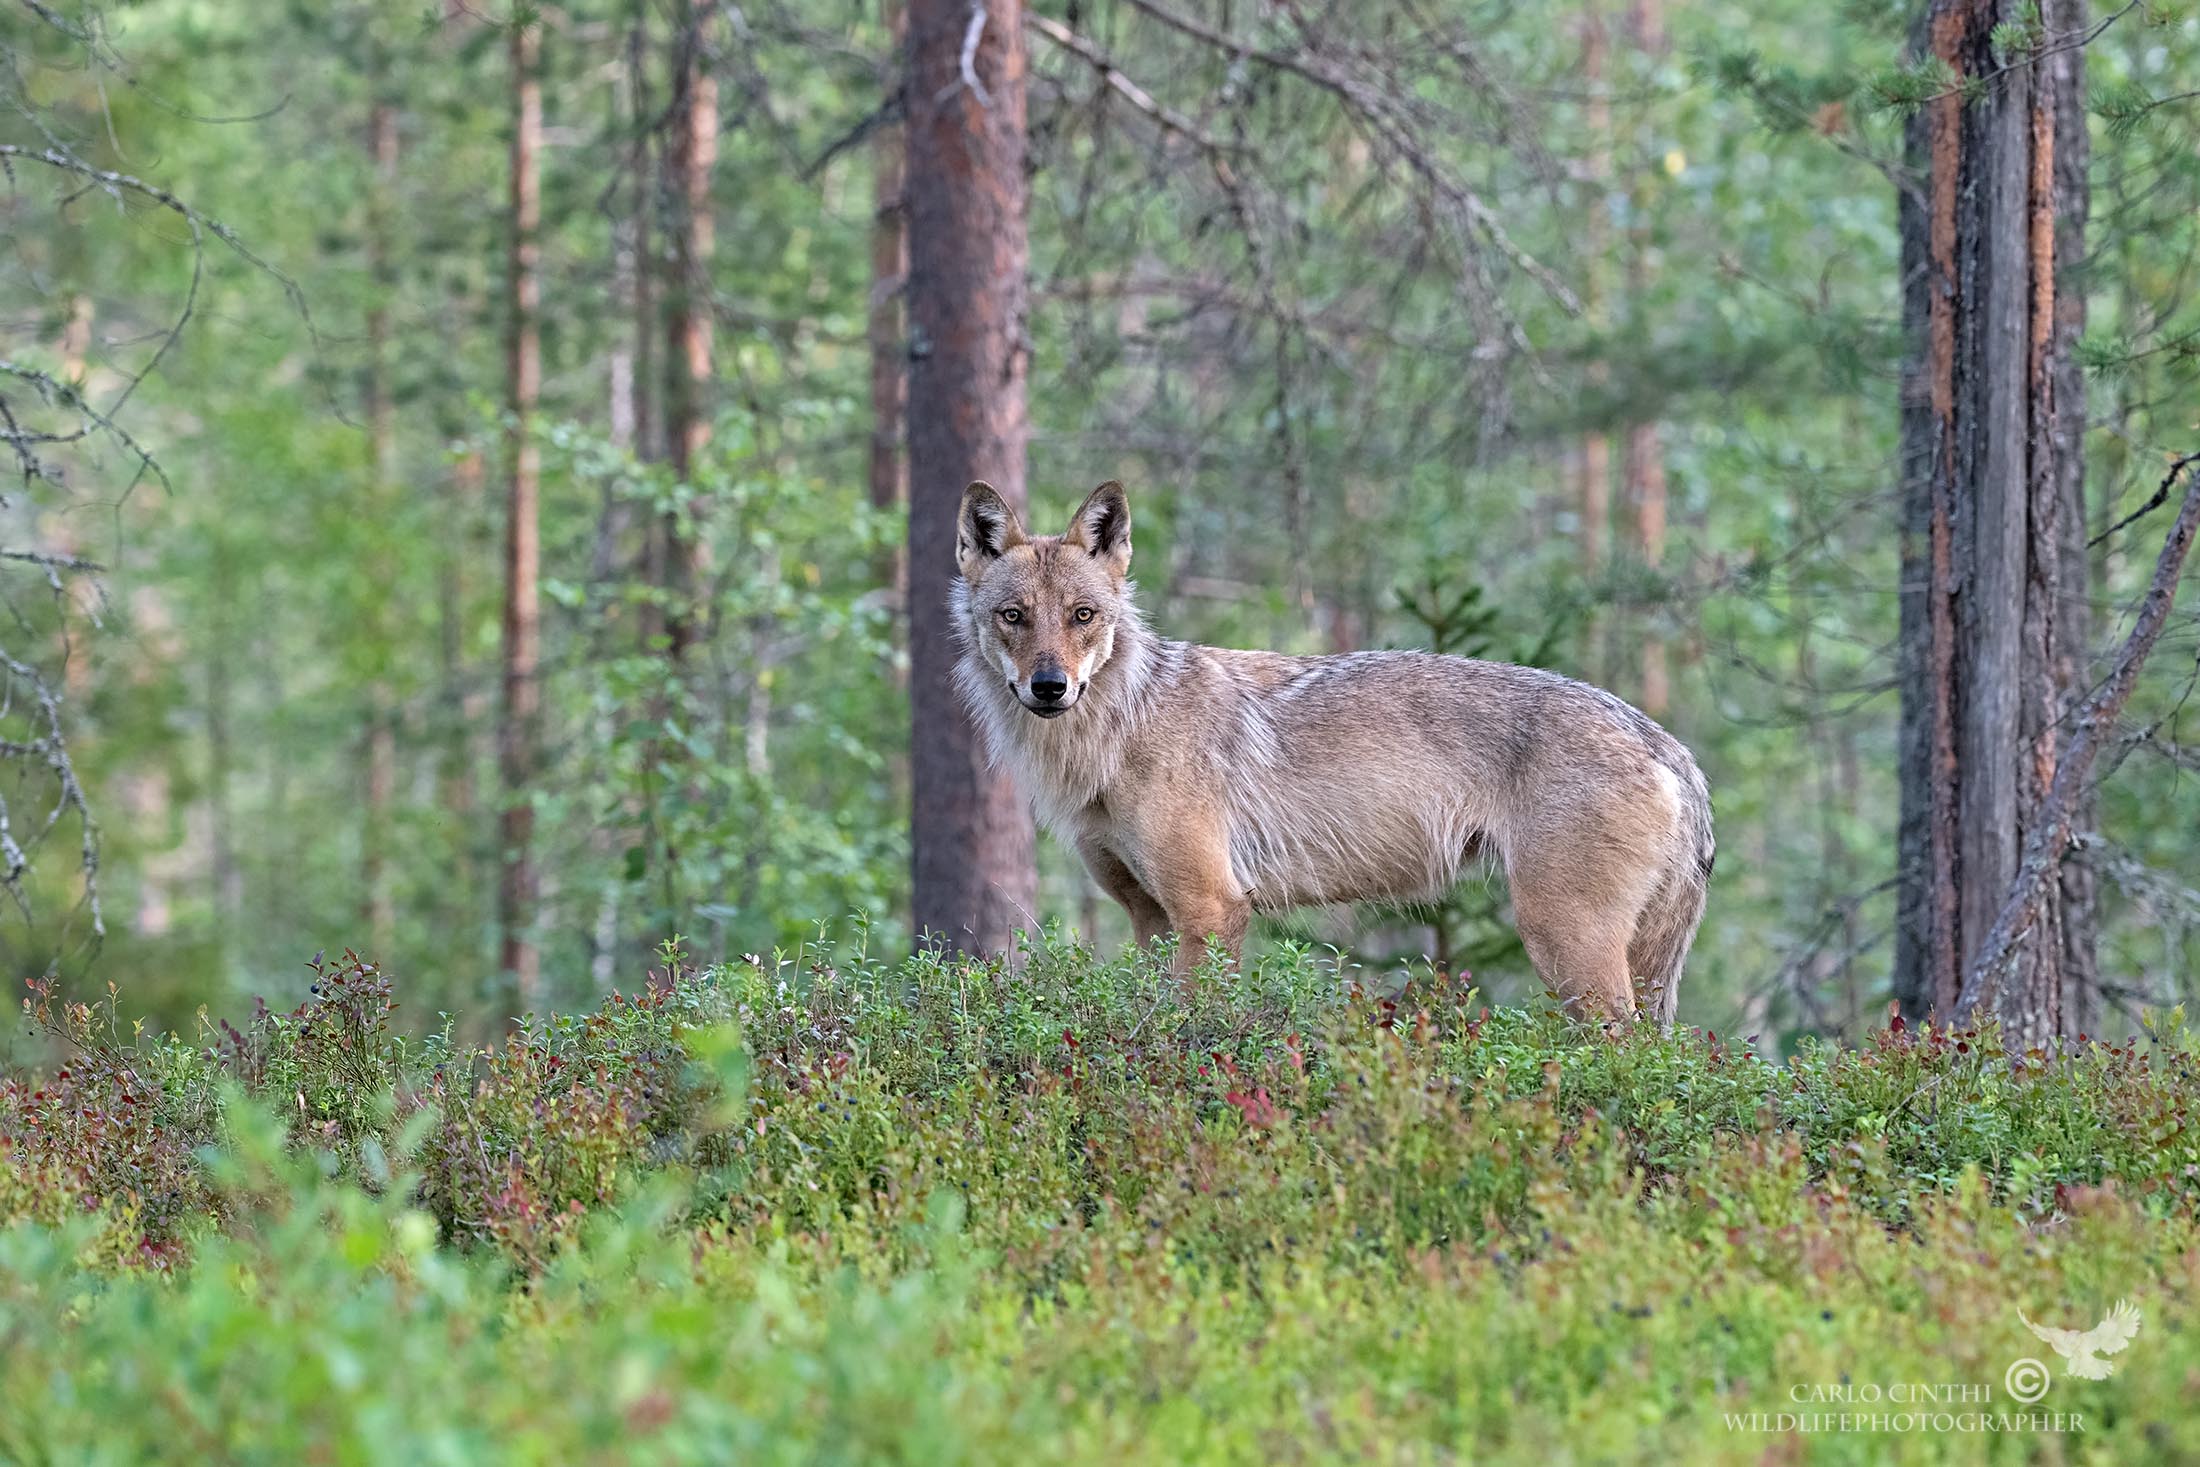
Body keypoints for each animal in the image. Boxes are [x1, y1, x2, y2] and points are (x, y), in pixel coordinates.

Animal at [951, 480, 1714, 1027]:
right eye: (1013, 616)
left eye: (1082, 615)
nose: (1050, 686)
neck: (1115, 731)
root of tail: (1668, 744)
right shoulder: (1149, 918)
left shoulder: (1212, 909)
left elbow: (1196, 1030)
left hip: (1564, 945)